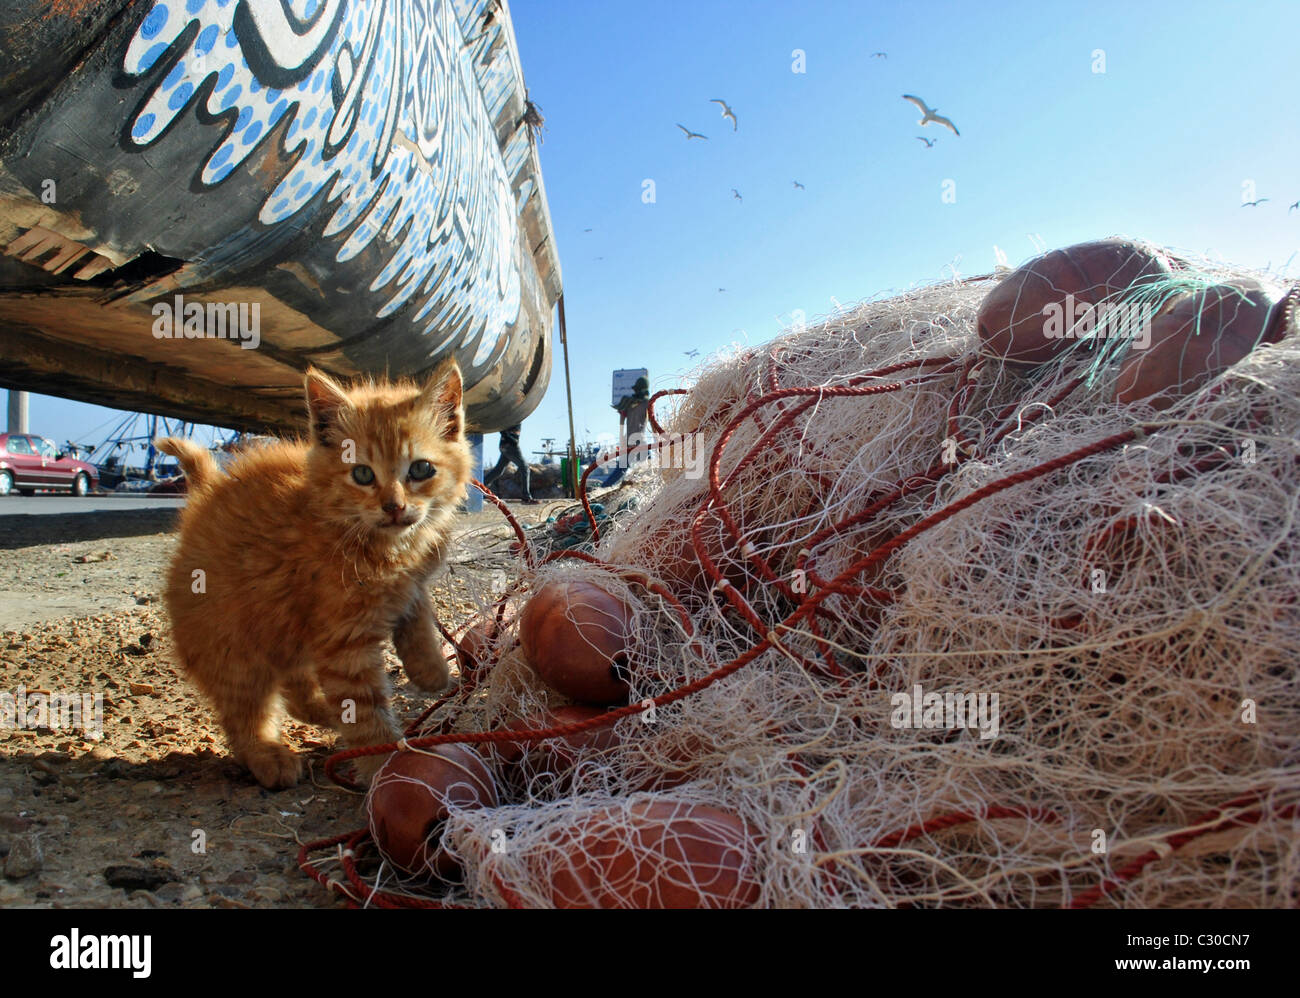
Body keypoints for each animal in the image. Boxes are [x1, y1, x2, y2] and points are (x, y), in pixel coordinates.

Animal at [156, 358, 473, 790]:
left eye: (421, 469)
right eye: (362, 475)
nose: (393, 506)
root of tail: (207, 494)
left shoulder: (408, 584)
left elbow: (417, 610)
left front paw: (431, 670)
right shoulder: (343, 644)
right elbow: (364, 710)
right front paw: (381, 766)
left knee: (293, 689)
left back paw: (322, 712)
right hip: (232, 644)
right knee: (244, 711)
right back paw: (268, 756)